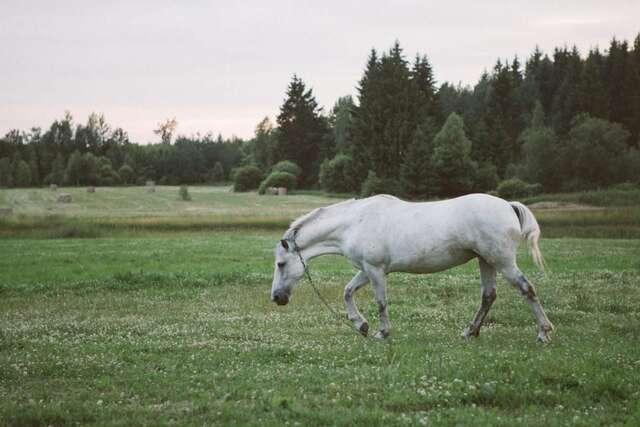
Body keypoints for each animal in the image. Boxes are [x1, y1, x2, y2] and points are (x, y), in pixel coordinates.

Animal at [270, 194, 556, 344]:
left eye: (281, 264)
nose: (277, 298)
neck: (355, 222)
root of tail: (508, 205)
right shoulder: (366, 270)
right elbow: (347, 292)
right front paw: (361, 325)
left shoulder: (375, 270)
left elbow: (381, 302)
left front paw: (381, 332)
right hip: (486, 261)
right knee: (488, 296)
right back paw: (470, 332)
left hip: (502, 261)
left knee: (526, 289)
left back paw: (543, 332)